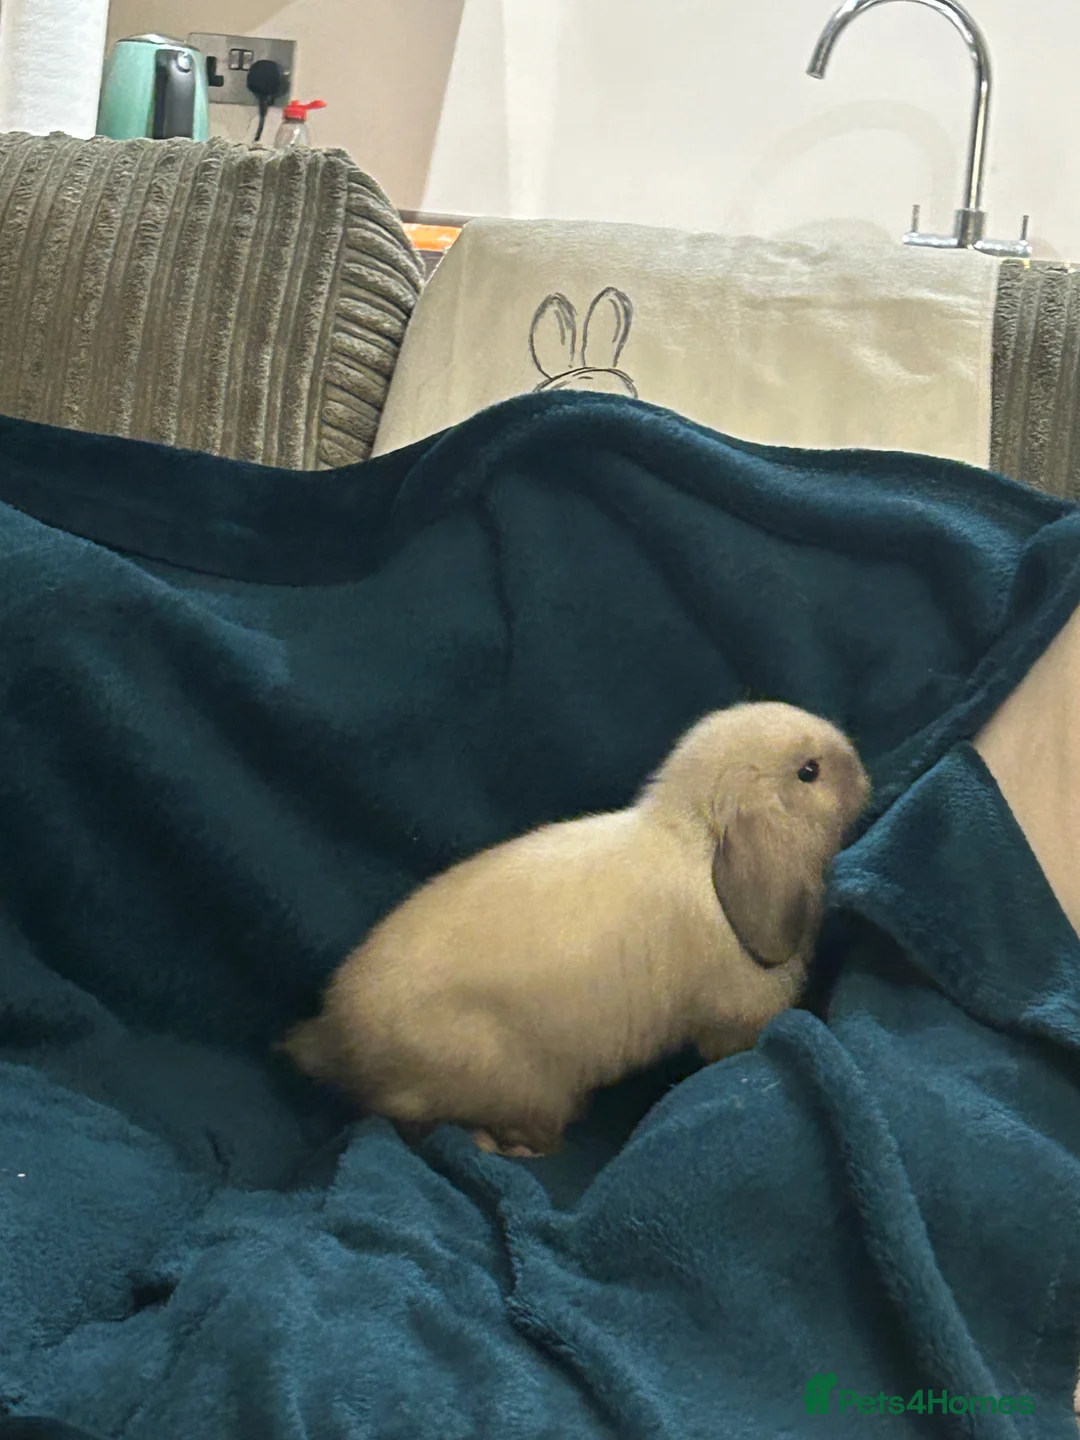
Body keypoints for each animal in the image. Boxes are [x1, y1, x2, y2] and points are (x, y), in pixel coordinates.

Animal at [281, 702, 870, 1158]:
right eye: (809, 772)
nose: (864, 773)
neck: (699, 846)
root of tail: (336, 1040)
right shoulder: (734, 1022)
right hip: (527, 1089)